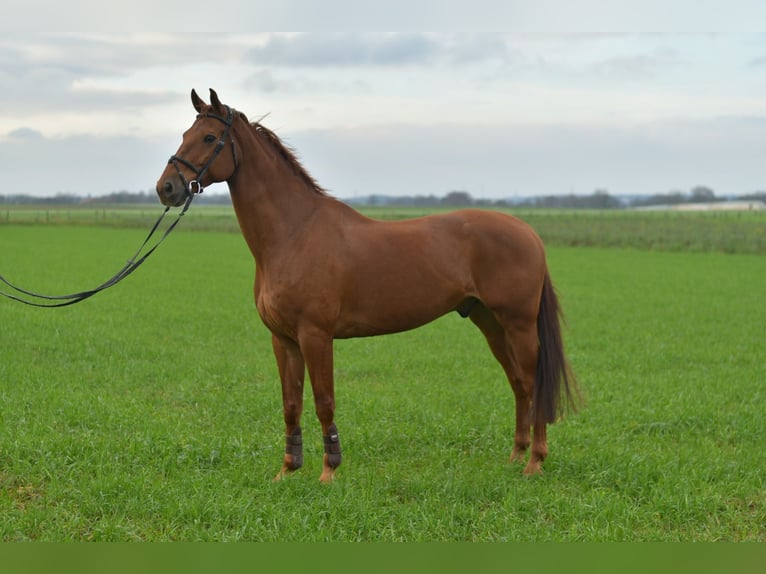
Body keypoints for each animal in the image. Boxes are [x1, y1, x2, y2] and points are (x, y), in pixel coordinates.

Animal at [155, 89, 578, 483]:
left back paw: (534, 463)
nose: (166, 188)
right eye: (185, 133)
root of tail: (529, 232)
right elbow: (291, 404)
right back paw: (516, 457)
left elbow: (324, 400)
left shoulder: (315, 335)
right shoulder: (284, 339)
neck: (294, 232)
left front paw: (328, 472)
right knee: (519, 383)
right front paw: (288, 470)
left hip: (518, 323)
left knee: (533, 381)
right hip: (490, 322)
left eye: (209, 137)